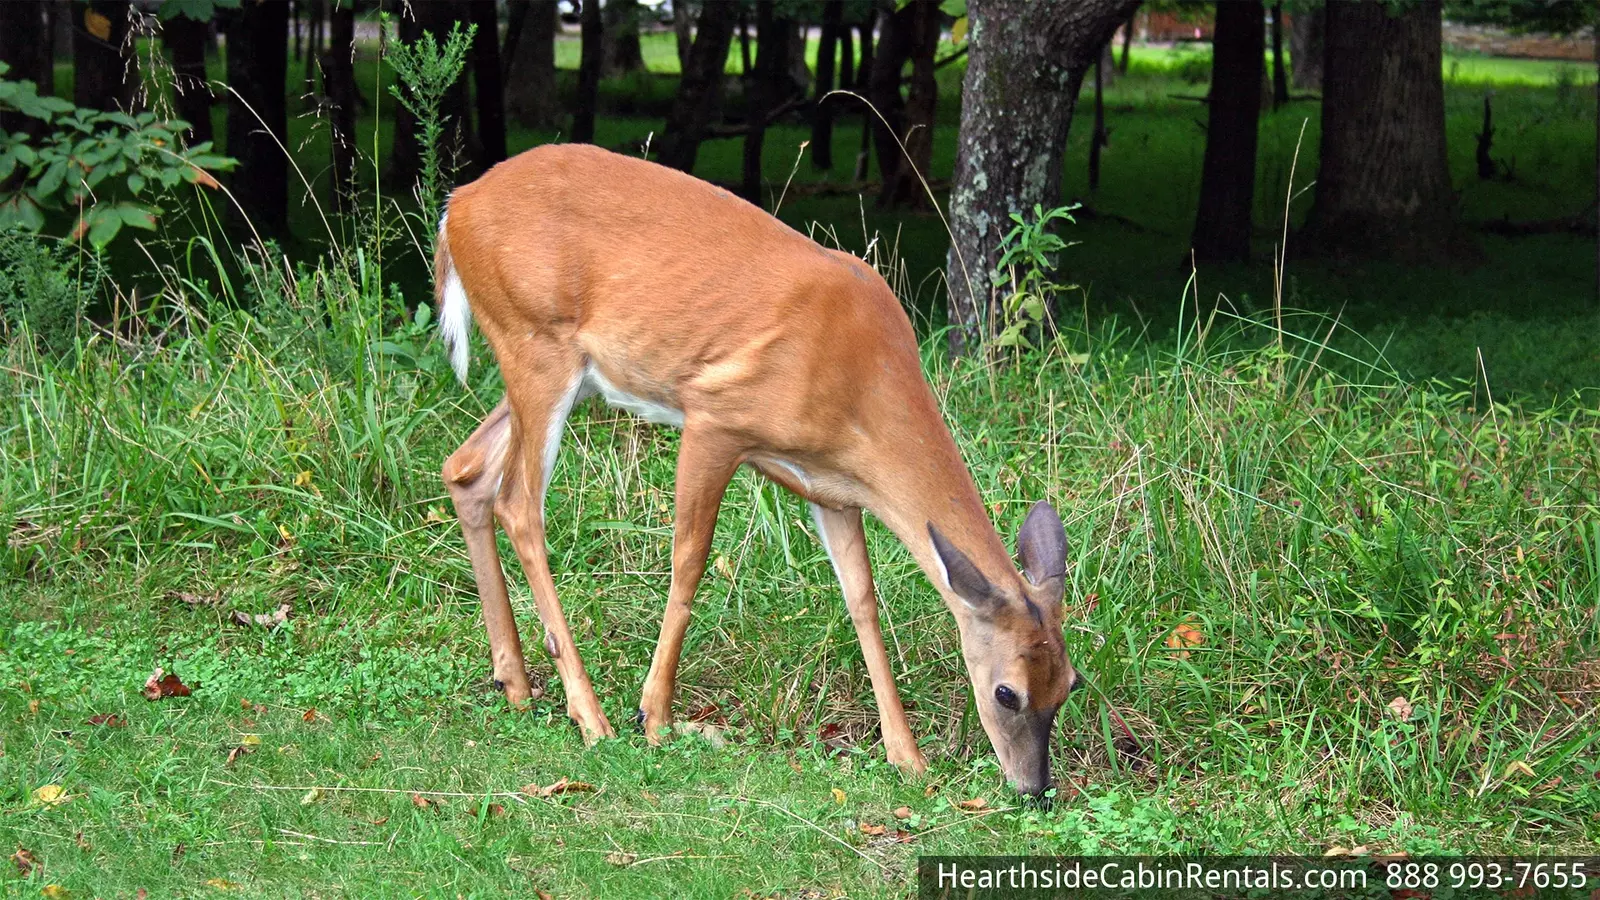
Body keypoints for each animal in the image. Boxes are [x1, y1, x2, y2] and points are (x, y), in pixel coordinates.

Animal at [435, 140, 1075, 791]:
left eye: (1069, 685)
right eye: (1006, 692)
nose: (1035, 788)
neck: (861, 383)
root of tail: (456, 206)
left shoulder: (833, 490)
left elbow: (862, 600)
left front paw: (907, 755)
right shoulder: (714, 417)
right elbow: (689, 560)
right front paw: (654, 716)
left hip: (551, 369)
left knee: (466, 468)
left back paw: (514, 682)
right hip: (537, 342)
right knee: (519, 503)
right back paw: (590, 715)